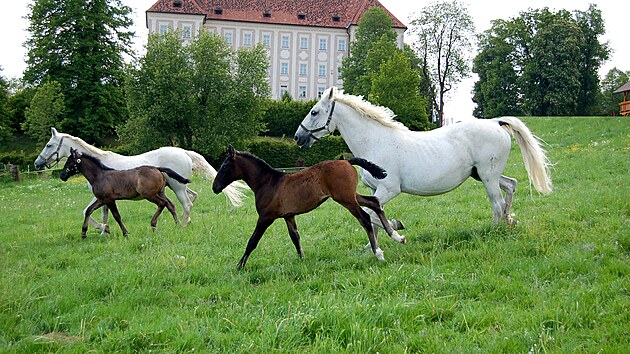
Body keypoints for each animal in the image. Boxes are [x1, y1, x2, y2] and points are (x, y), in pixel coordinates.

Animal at [35, 127, 249, 232]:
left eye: (49, 145)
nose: (37, 164)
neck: (100, 167)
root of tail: (184, 152)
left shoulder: (103, 196)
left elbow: (92, 212)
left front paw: (103, 229)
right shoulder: (103, 198)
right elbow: (100, 213)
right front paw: (104, 230)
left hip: (176, 187)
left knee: (186, 203)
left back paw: (182, 225)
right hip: (175, 185)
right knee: (191, 198)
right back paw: (184, 222)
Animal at [215, 145, 408, 270]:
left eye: (225, 166)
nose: (215, 187)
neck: (269, 183)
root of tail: (346, 161)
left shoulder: (266, 217)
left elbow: (252, 241)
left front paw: (239, 266)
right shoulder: (288, 216)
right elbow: (295, 237)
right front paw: (302, 260)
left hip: (346, 199)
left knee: (365, 219)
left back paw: (378, 253)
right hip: (352, 196)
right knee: (375, 202)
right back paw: (397, 236)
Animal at [296, 87, 552, 234]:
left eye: (314, 112)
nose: (298, 137)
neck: (375, 141)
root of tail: (495, 122)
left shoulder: (389, 189)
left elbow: (371, 215)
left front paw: (396, 228)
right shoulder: (375, 190)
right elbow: (374, 216)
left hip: (488, 177)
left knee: (497, 203)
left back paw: (495, 231)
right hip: (483, 175)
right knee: (511, 186)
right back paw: (510, 221)